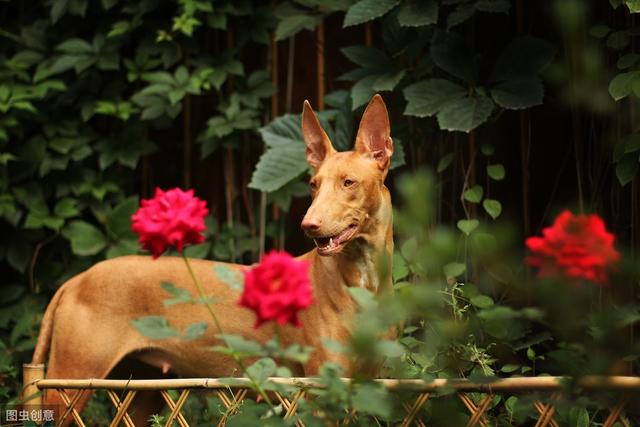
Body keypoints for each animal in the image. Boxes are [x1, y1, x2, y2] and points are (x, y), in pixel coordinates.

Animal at [31, 95, 396, 426]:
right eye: (313, 185)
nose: (309, 225)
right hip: (70, 383)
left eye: (348, 182)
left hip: (144, 391)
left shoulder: (369, 387)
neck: (362, 282)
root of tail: (76, 280)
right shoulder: (322, 390)